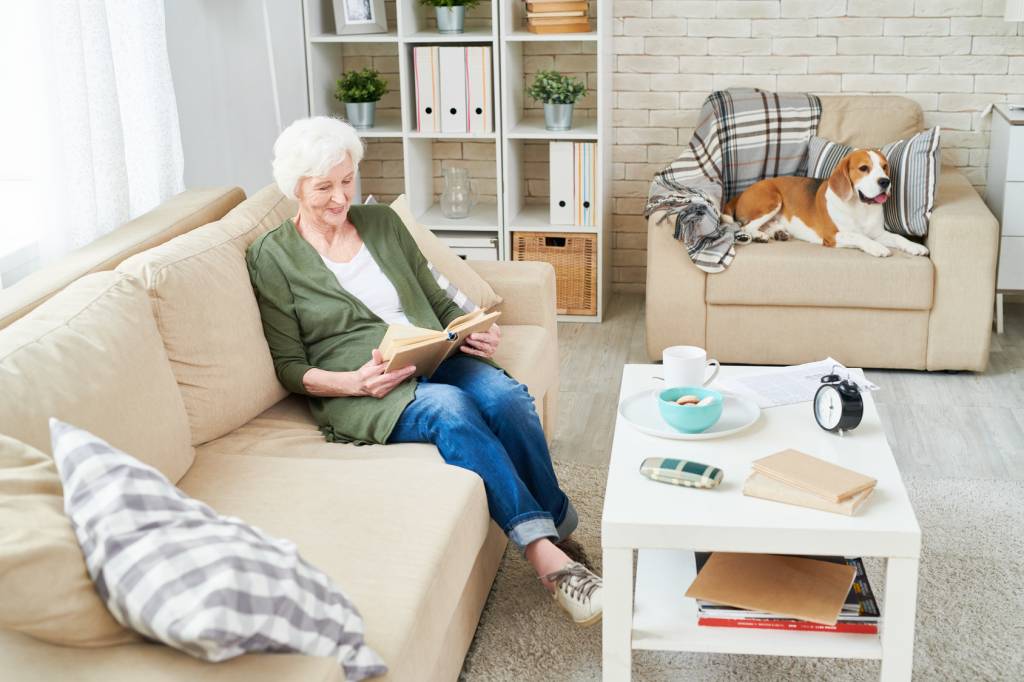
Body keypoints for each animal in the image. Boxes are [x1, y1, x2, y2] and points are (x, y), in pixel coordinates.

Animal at [720, 148, 929, 258]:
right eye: (864, 168)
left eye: (884, 167)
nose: (885, 181)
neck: (860, 208)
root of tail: (742, 192)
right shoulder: (833, 235)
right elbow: (859, 237)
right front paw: (877, 247)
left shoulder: (878, 233)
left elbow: (898, 238)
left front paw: (914, 246)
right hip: (772, 200)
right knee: (745, 226)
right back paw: (759, 235)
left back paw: (777, 233)